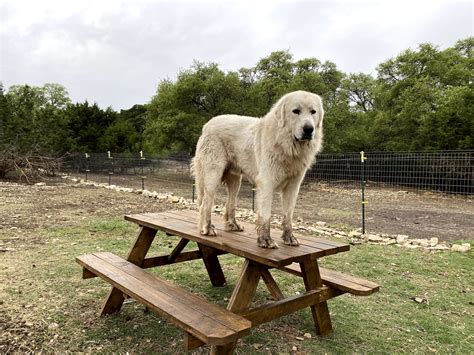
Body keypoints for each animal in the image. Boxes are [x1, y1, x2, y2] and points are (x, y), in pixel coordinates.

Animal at [191, 90, 324, 249]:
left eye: (313, 112)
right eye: (296, 111)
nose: (309, 129)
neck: (287, 146)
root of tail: (207, 124)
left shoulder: (293, 186)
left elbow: (288, 215)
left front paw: (289, 238)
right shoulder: (266, 183)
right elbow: (266, 215)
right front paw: (265, 240)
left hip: (235, 180)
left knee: (230, 204)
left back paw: (232, 225)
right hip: (213, 175)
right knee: (206, 203)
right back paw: (207, 228)